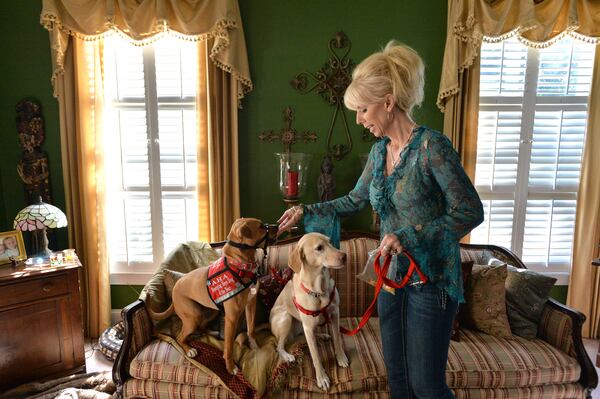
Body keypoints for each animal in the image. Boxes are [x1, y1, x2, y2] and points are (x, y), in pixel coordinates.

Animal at [149, 217, 276, 374]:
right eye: (260, 227)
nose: (277, 226)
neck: (240, 266)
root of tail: (175, 289)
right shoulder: (231, 318)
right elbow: (229, 347)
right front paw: (230, 367)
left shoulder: (250, 305)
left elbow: (251, 330)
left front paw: (254, 346)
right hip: (193, 316)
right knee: (180, 337)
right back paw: (189, 349)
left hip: (209, 312)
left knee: (202, 327)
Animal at [270, 233, 350, 392]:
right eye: (319, 248)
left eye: (330, 242)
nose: (344, 256)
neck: (319, 291)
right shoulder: (308, 326)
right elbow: (315, 356)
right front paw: (322, 378)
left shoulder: (335, 314)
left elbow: (337, 338)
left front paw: (341, 357)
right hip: (286, 318)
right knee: (280, 346)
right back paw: (287, 356)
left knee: (303, 336)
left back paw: (322, 335)